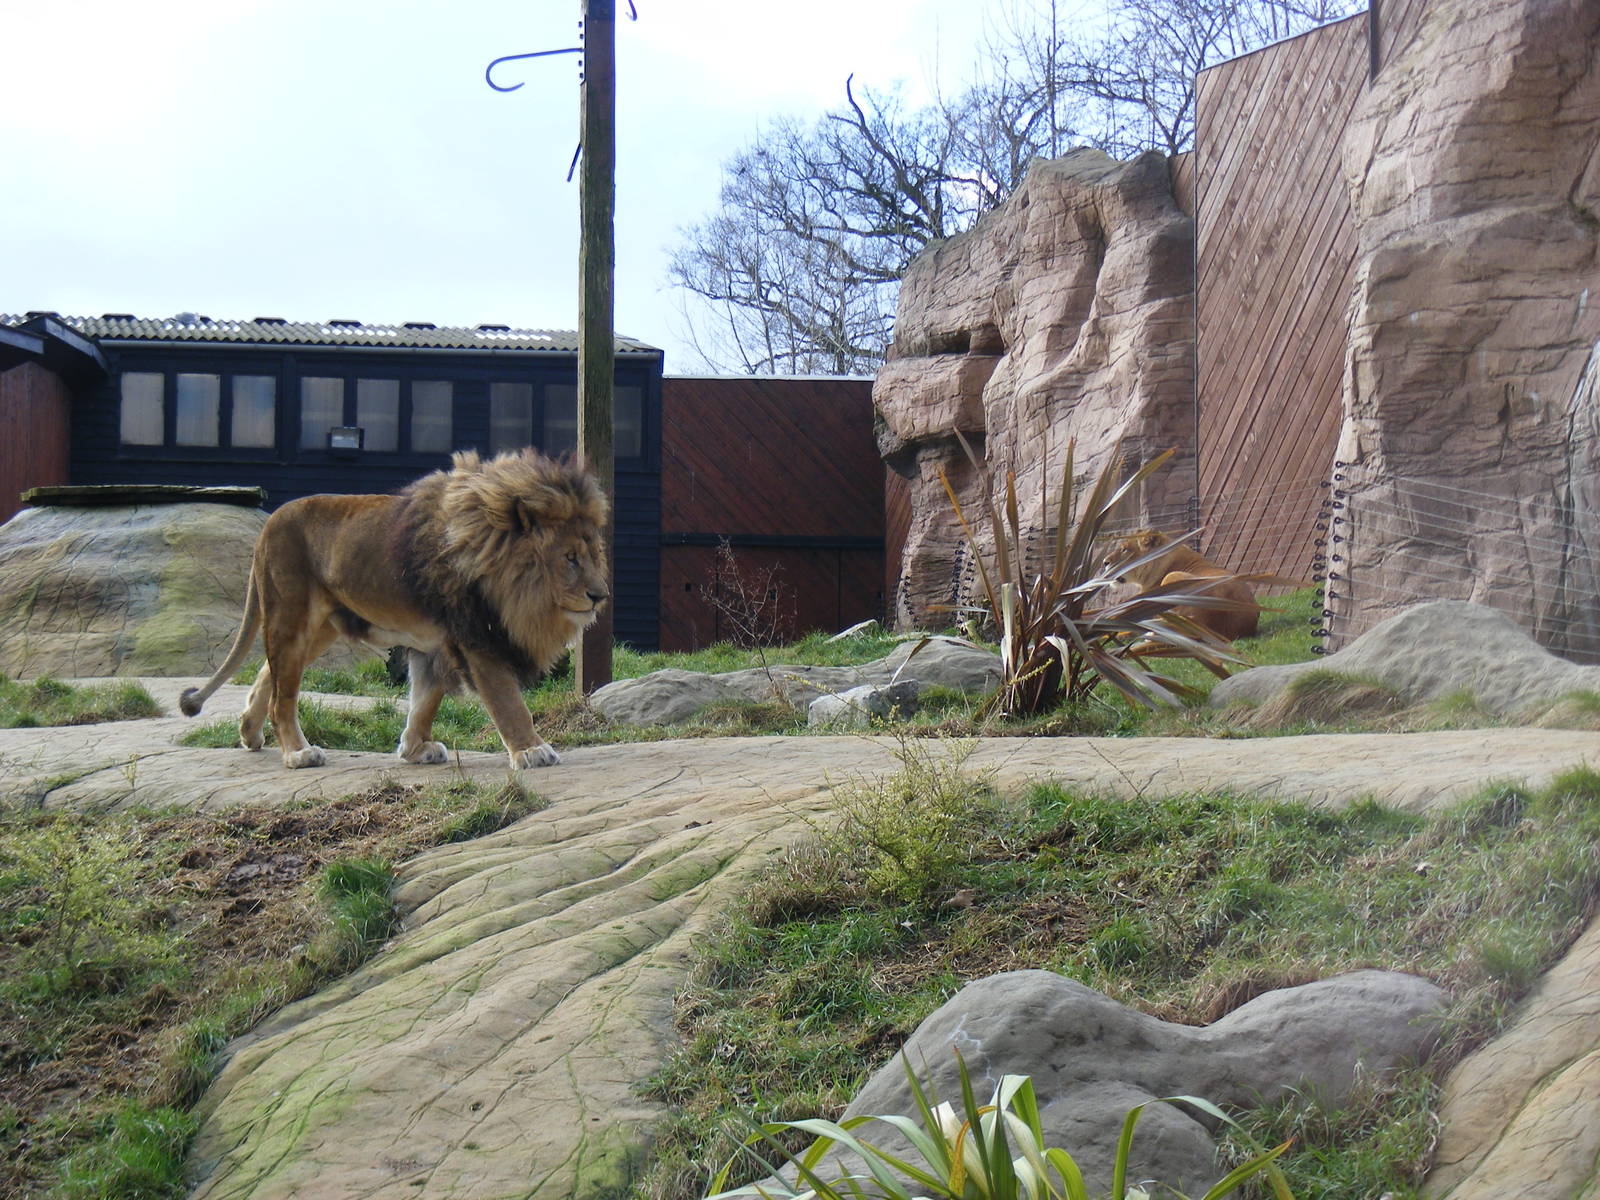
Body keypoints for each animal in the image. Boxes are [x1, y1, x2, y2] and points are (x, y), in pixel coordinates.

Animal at [180, 448, 609, 771]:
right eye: (570, 558)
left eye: (594, 555)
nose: (600, 596)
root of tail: (267, 526)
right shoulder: (476, 638)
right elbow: (508, 702)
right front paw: (531, 750)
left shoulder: (437, 643)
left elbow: (425, 700)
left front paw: (415, 749)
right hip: (292, 617)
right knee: (281, 698)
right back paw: (298, 753)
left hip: (321, 628)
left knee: (267, 674)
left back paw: (250, 733)